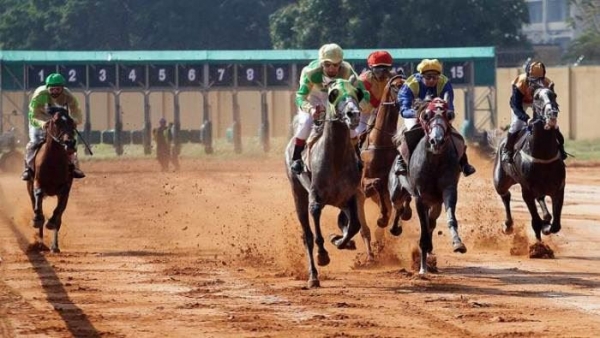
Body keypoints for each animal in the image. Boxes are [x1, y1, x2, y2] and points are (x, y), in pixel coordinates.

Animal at [27, 107, 77, 252]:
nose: (70, 143)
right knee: (36, 206)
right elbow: (38, 198)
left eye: (72, 122)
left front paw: (51, 222)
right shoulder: (37, 182)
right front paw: (37, 219)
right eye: (56, 122)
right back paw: (40, 243)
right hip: (29, 188)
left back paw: (54, 246)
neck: (53, 161)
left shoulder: (65, 188)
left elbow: (57, 212)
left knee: (59, 217)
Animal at [286, 78, 366, 288]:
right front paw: (323, 255)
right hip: (297, 192)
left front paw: (339, 240)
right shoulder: (315, 197)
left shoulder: (350, 196)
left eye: (357, 92)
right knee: (307, 234)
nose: (353, 114)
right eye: (334, 93)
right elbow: (315, 228)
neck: (335, 157)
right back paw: (313, 276)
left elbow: (354, 225)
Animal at [390, 97, 468, 274]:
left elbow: (449, 217)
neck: (434, 161)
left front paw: (457, 243)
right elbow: (423, 229)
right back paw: (397, 227)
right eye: (426, 116)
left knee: (430, 221)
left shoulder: (448, 190)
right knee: (398, 205)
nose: (437, 141)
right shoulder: (420, 197)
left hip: (435, 203)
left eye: (449, 115)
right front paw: (423, 268)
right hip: (397, 190)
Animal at [492, 86, 568, 242]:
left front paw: (547, 224)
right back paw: (508, 225)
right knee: (505, 195)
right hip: (500, 181)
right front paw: (542, 230)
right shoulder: (526, 190)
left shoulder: (559, 189)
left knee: (540, 199)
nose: (552, 114)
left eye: (554, 95)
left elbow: (556, 225)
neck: (543, 155)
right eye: (537, 97)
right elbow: (536, 220)